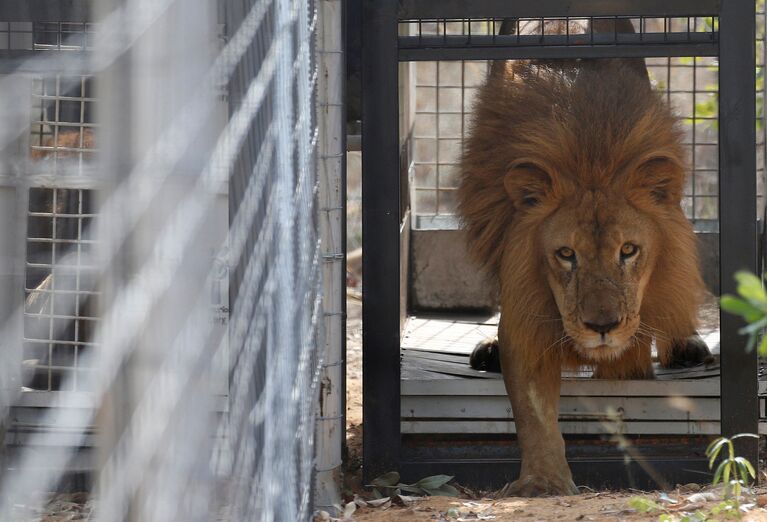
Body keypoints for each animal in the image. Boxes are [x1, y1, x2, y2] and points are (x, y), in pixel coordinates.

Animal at [456, 20, 712, 494]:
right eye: (565, 254)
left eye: (628, 250)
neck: (592, 160)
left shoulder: (632, 342)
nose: (603, 327)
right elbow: (533, 414)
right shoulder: (526, 316)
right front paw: (543, 482)